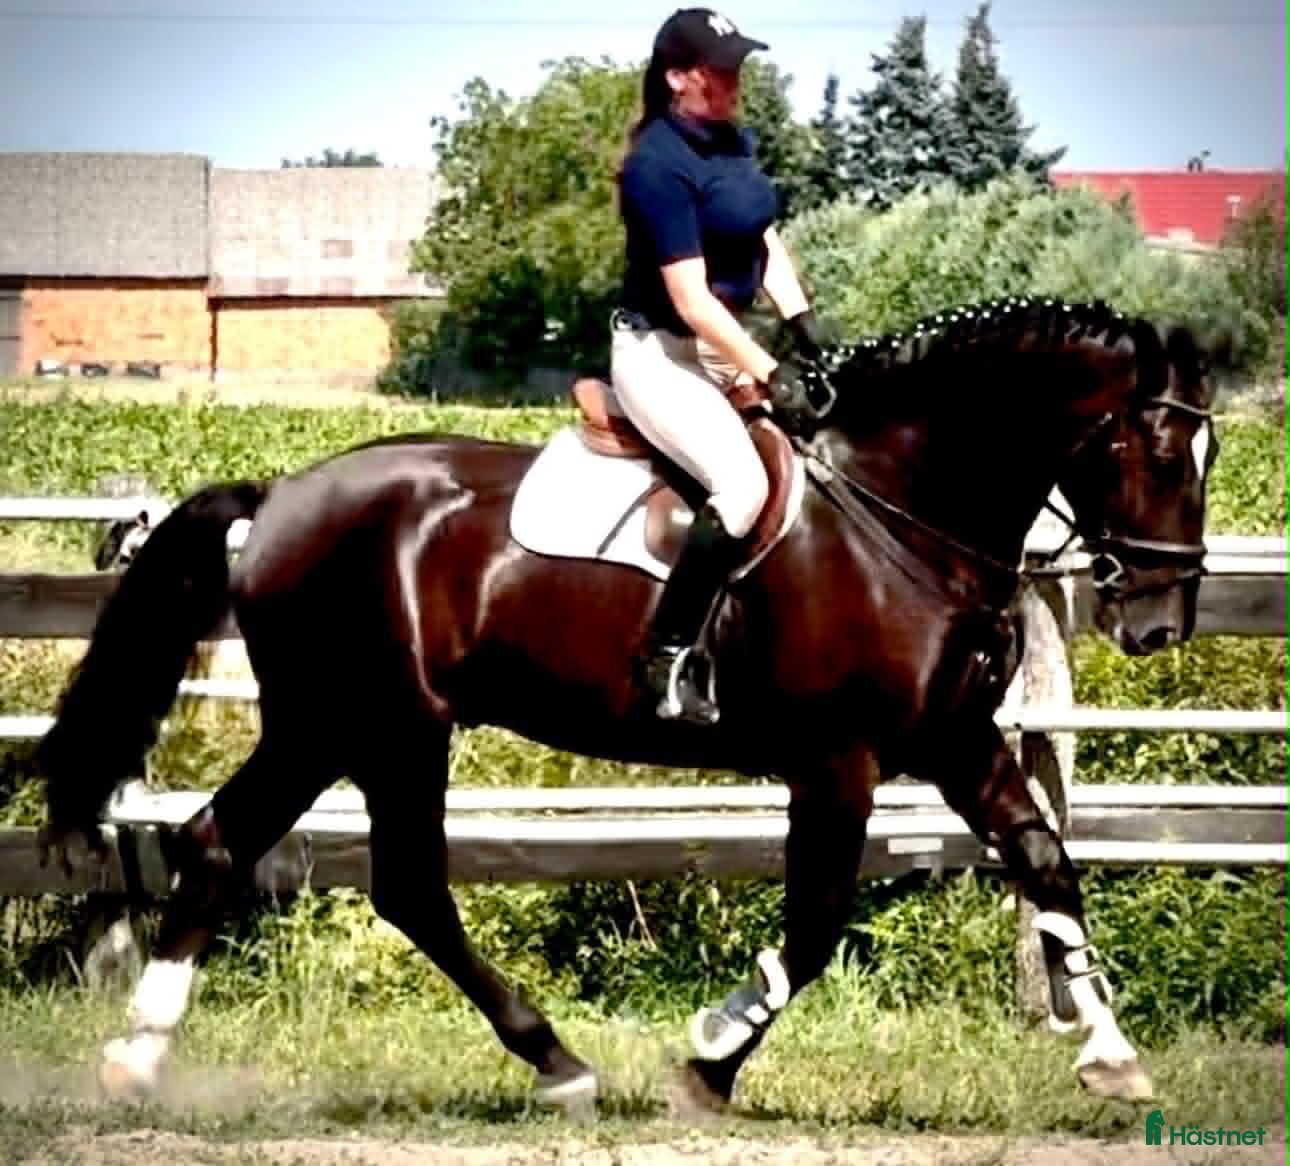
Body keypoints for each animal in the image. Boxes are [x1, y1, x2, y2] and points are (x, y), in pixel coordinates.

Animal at [34, 297, 1217, 1113]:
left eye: (1207, 452)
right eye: (1159, 448)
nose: (1160, 623)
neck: (899, 513)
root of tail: (280, 494)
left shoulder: (957, 739)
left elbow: (1047, 862)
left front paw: (1113, 1056)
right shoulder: (838, 759)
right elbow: (817, 920)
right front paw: (711, 1056)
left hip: (336, 727)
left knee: (236, 845)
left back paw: (140, 1057)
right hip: (375, 723)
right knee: (389, 878)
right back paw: (555, 1062)